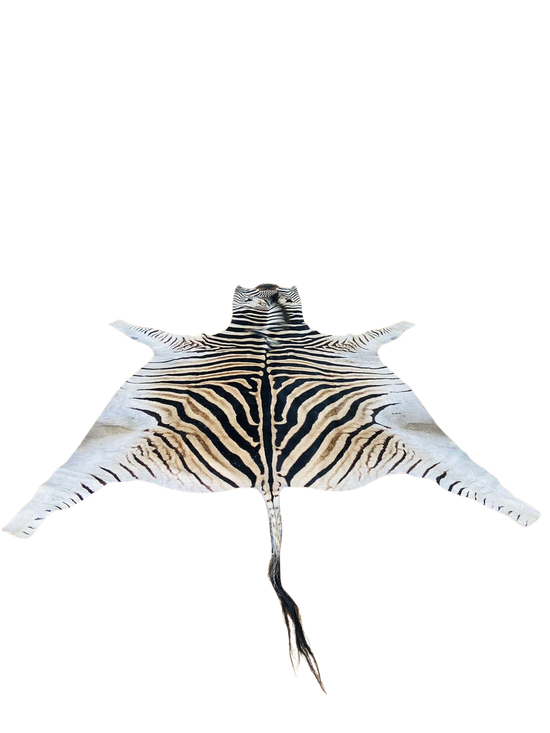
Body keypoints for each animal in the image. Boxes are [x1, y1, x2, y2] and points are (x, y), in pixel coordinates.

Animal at [1, 279, 543, 697]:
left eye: (282, 289)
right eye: (252, 288)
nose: (267, 282)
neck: (267, 322)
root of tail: (269, 477)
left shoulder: (335, 345)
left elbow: (381, 328)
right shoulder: (195, 344)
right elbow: (145, 328)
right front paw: (117, 320)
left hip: (407, 429)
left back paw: (527, 512)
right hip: (123, 437)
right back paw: (17, 528)